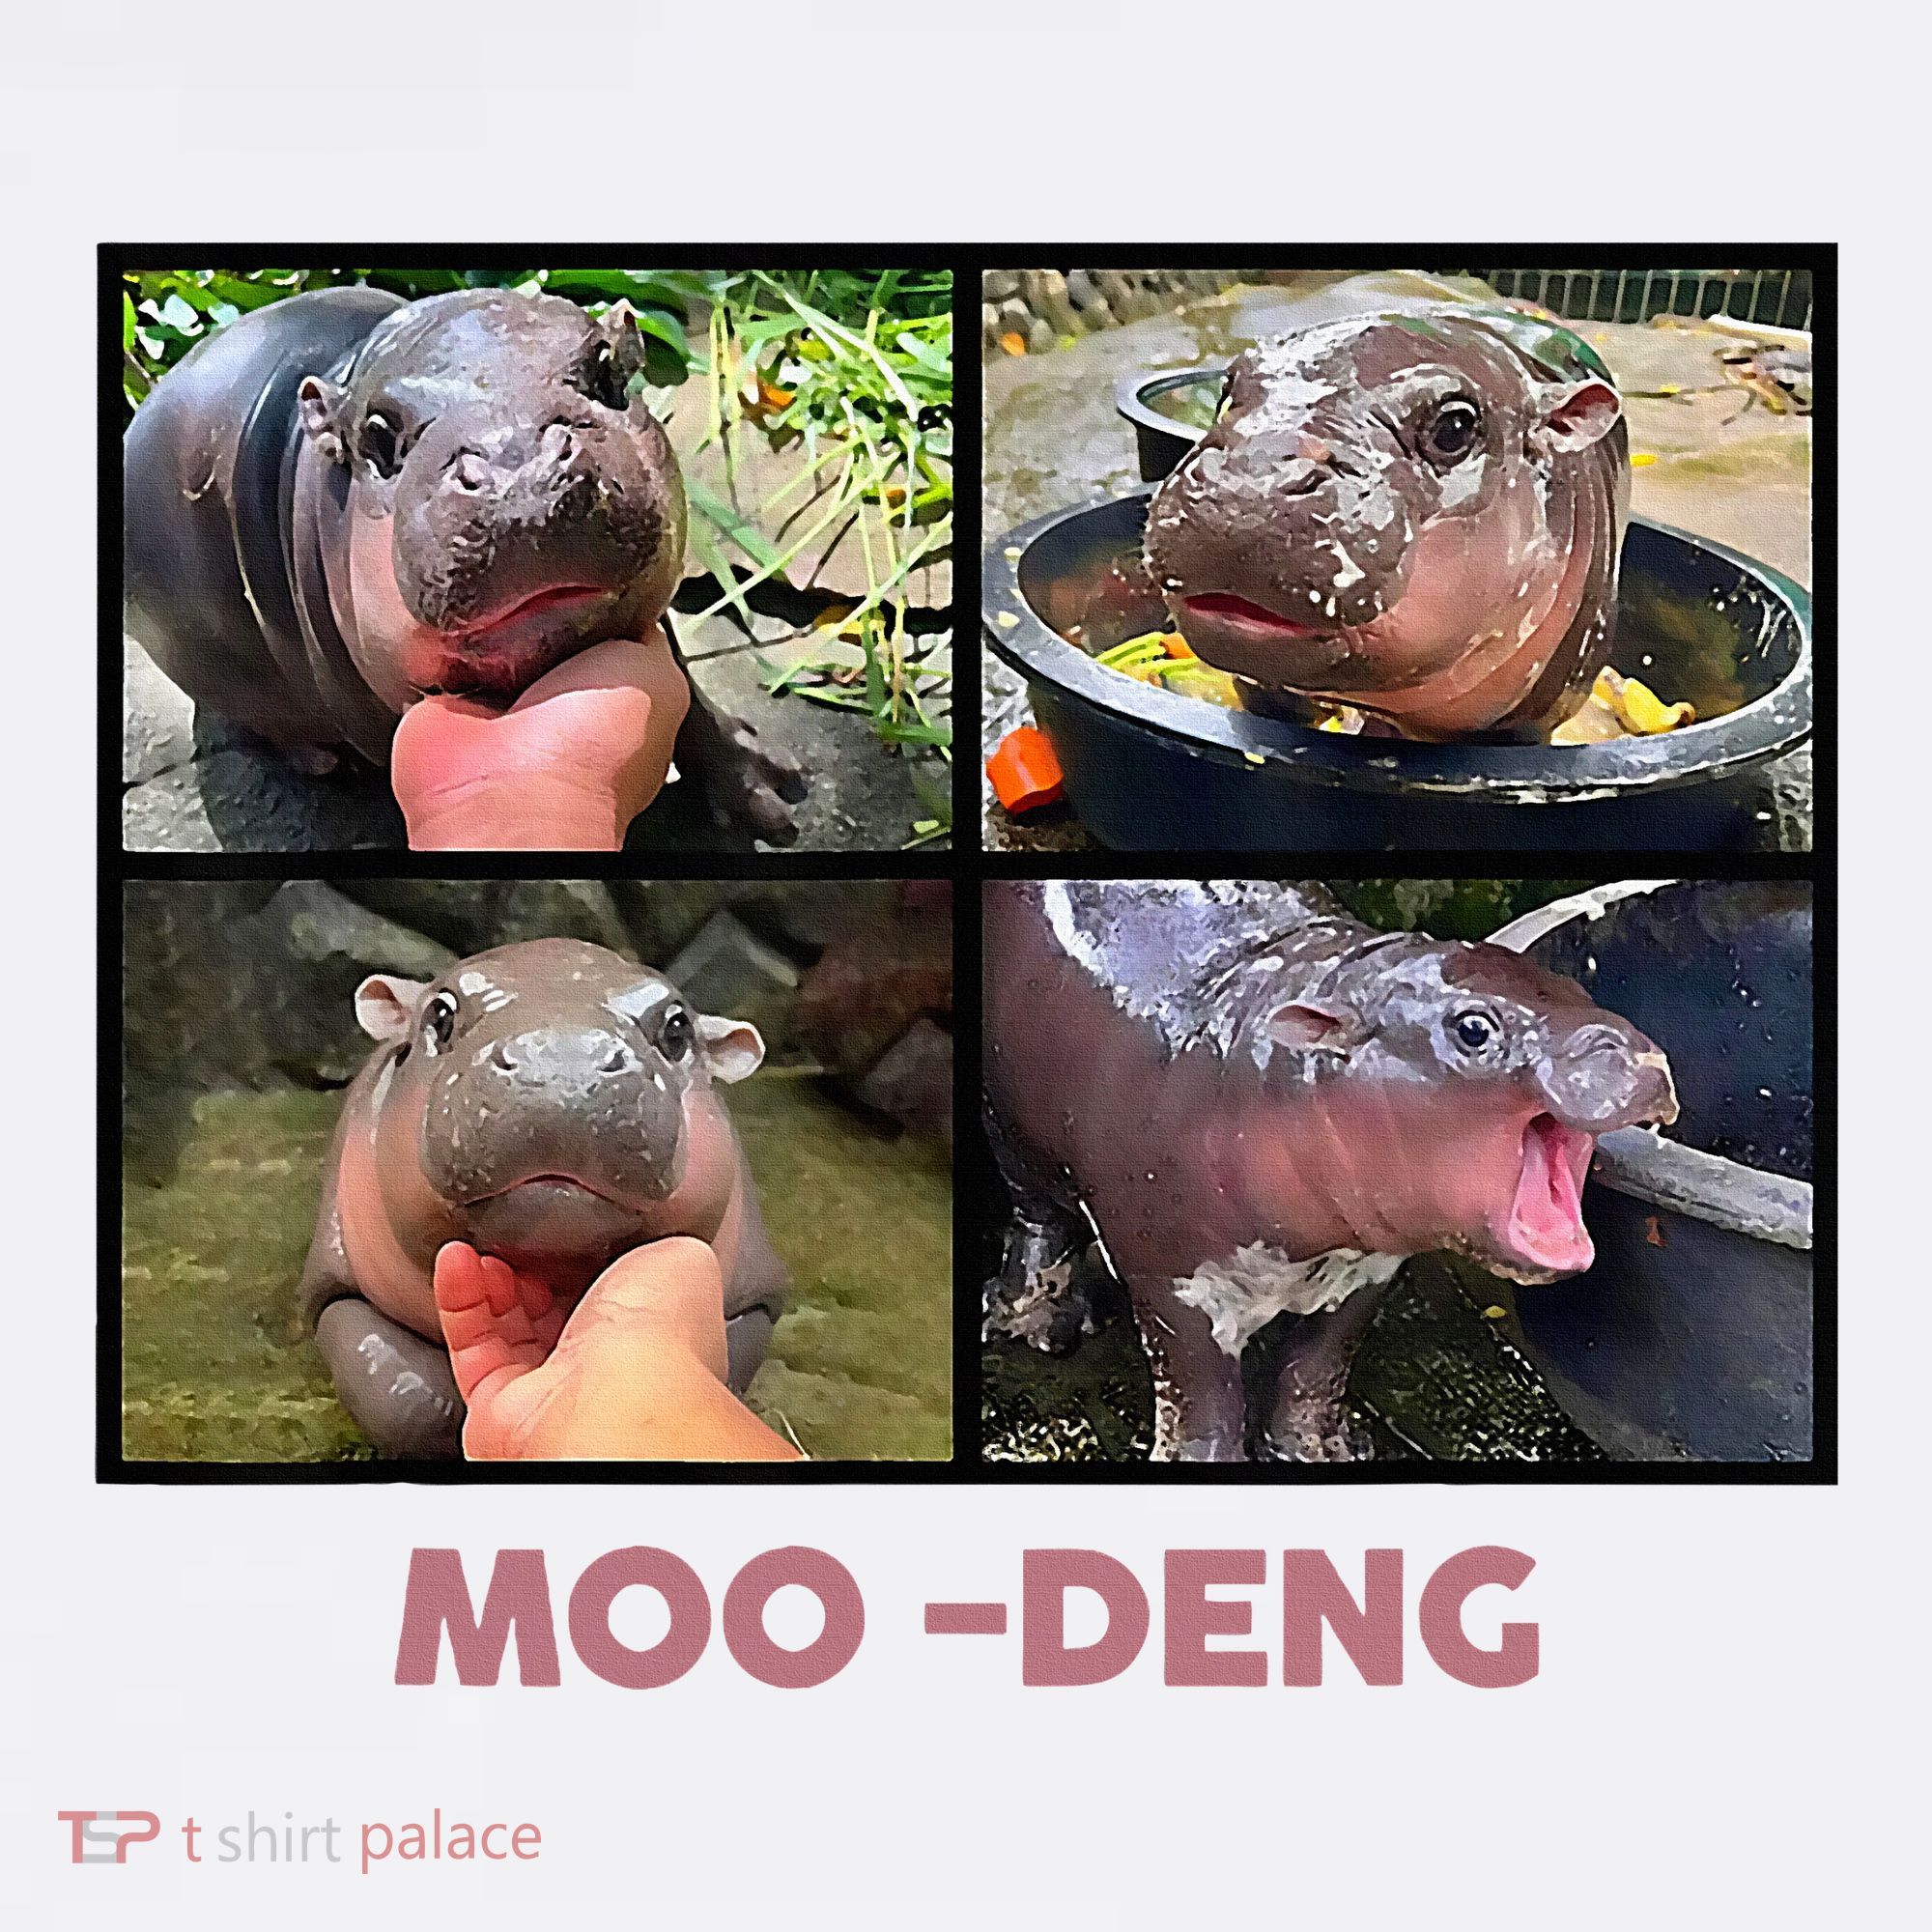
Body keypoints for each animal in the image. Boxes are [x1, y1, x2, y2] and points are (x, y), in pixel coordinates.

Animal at [124, 286, 806, 847]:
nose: (521, 470)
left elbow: (688, 693)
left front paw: (774, 794)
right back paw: (321, 762)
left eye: (608, 368)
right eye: (377, 432)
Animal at [300, 938, 790, 1456]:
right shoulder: (334, 1285)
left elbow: (731, 1365)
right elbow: (403, 1396)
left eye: (678, 1029)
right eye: (440, 1013)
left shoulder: (757, 1297)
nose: (560, 1066)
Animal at [982, 881, 1678, 1462]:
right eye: (1475, 1029)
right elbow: (1200, 1395)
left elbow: (1317, 1367)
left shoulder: (1368, 1267)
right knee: (1037, 1220)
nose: (1633, 1051)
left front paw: (1323, 1453)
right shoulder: (1170, 1279)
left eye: (1581, 992)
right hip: (1011, 1135)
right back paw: (1036, 1325)